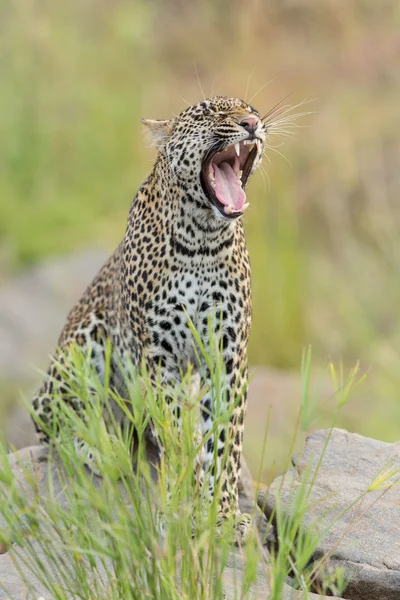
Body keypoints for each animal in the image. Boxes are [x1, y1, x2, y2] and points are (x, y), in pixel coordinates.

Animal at [32, 95, 266, 544]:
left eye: (252, 109)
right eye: (210, 112)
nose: (251, 123)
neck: (202, 238)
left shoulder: (228, 355)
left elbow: (225, 442)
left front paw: (224, 514)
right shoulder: (157, 357)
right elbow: (174, 437)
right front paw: (186, 509)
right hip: (84, 341)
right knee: (52, 419)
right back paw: (106, 451)